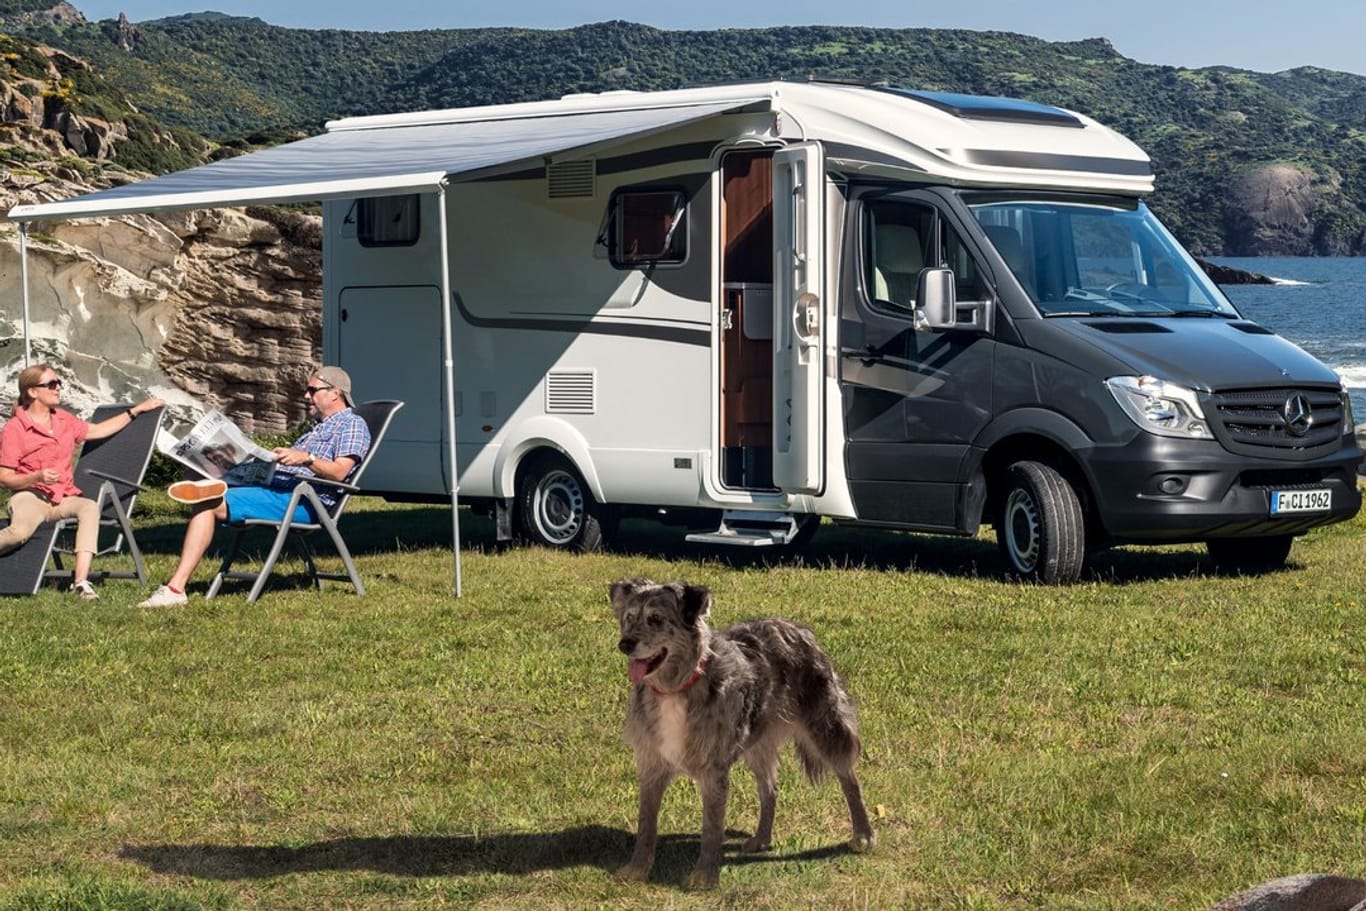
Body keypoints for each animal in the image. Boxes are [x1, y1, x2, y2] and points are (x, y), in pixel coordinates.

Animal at [611, 576, 874, 890]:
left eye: (656, 619)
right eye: (629, 618)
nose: (625, 644)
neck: (676, 688)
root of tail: (795, 627)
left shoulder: (714, 769)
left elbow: (712, 828)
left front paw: (704, 875)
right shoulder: (651, 763)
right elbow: (646, 825)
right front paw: (636, 869)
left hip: (825, 728)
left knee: (850, 780)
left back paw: (863, 834)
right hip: (758, 744)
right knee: (770, 789)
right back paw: (762, 838)